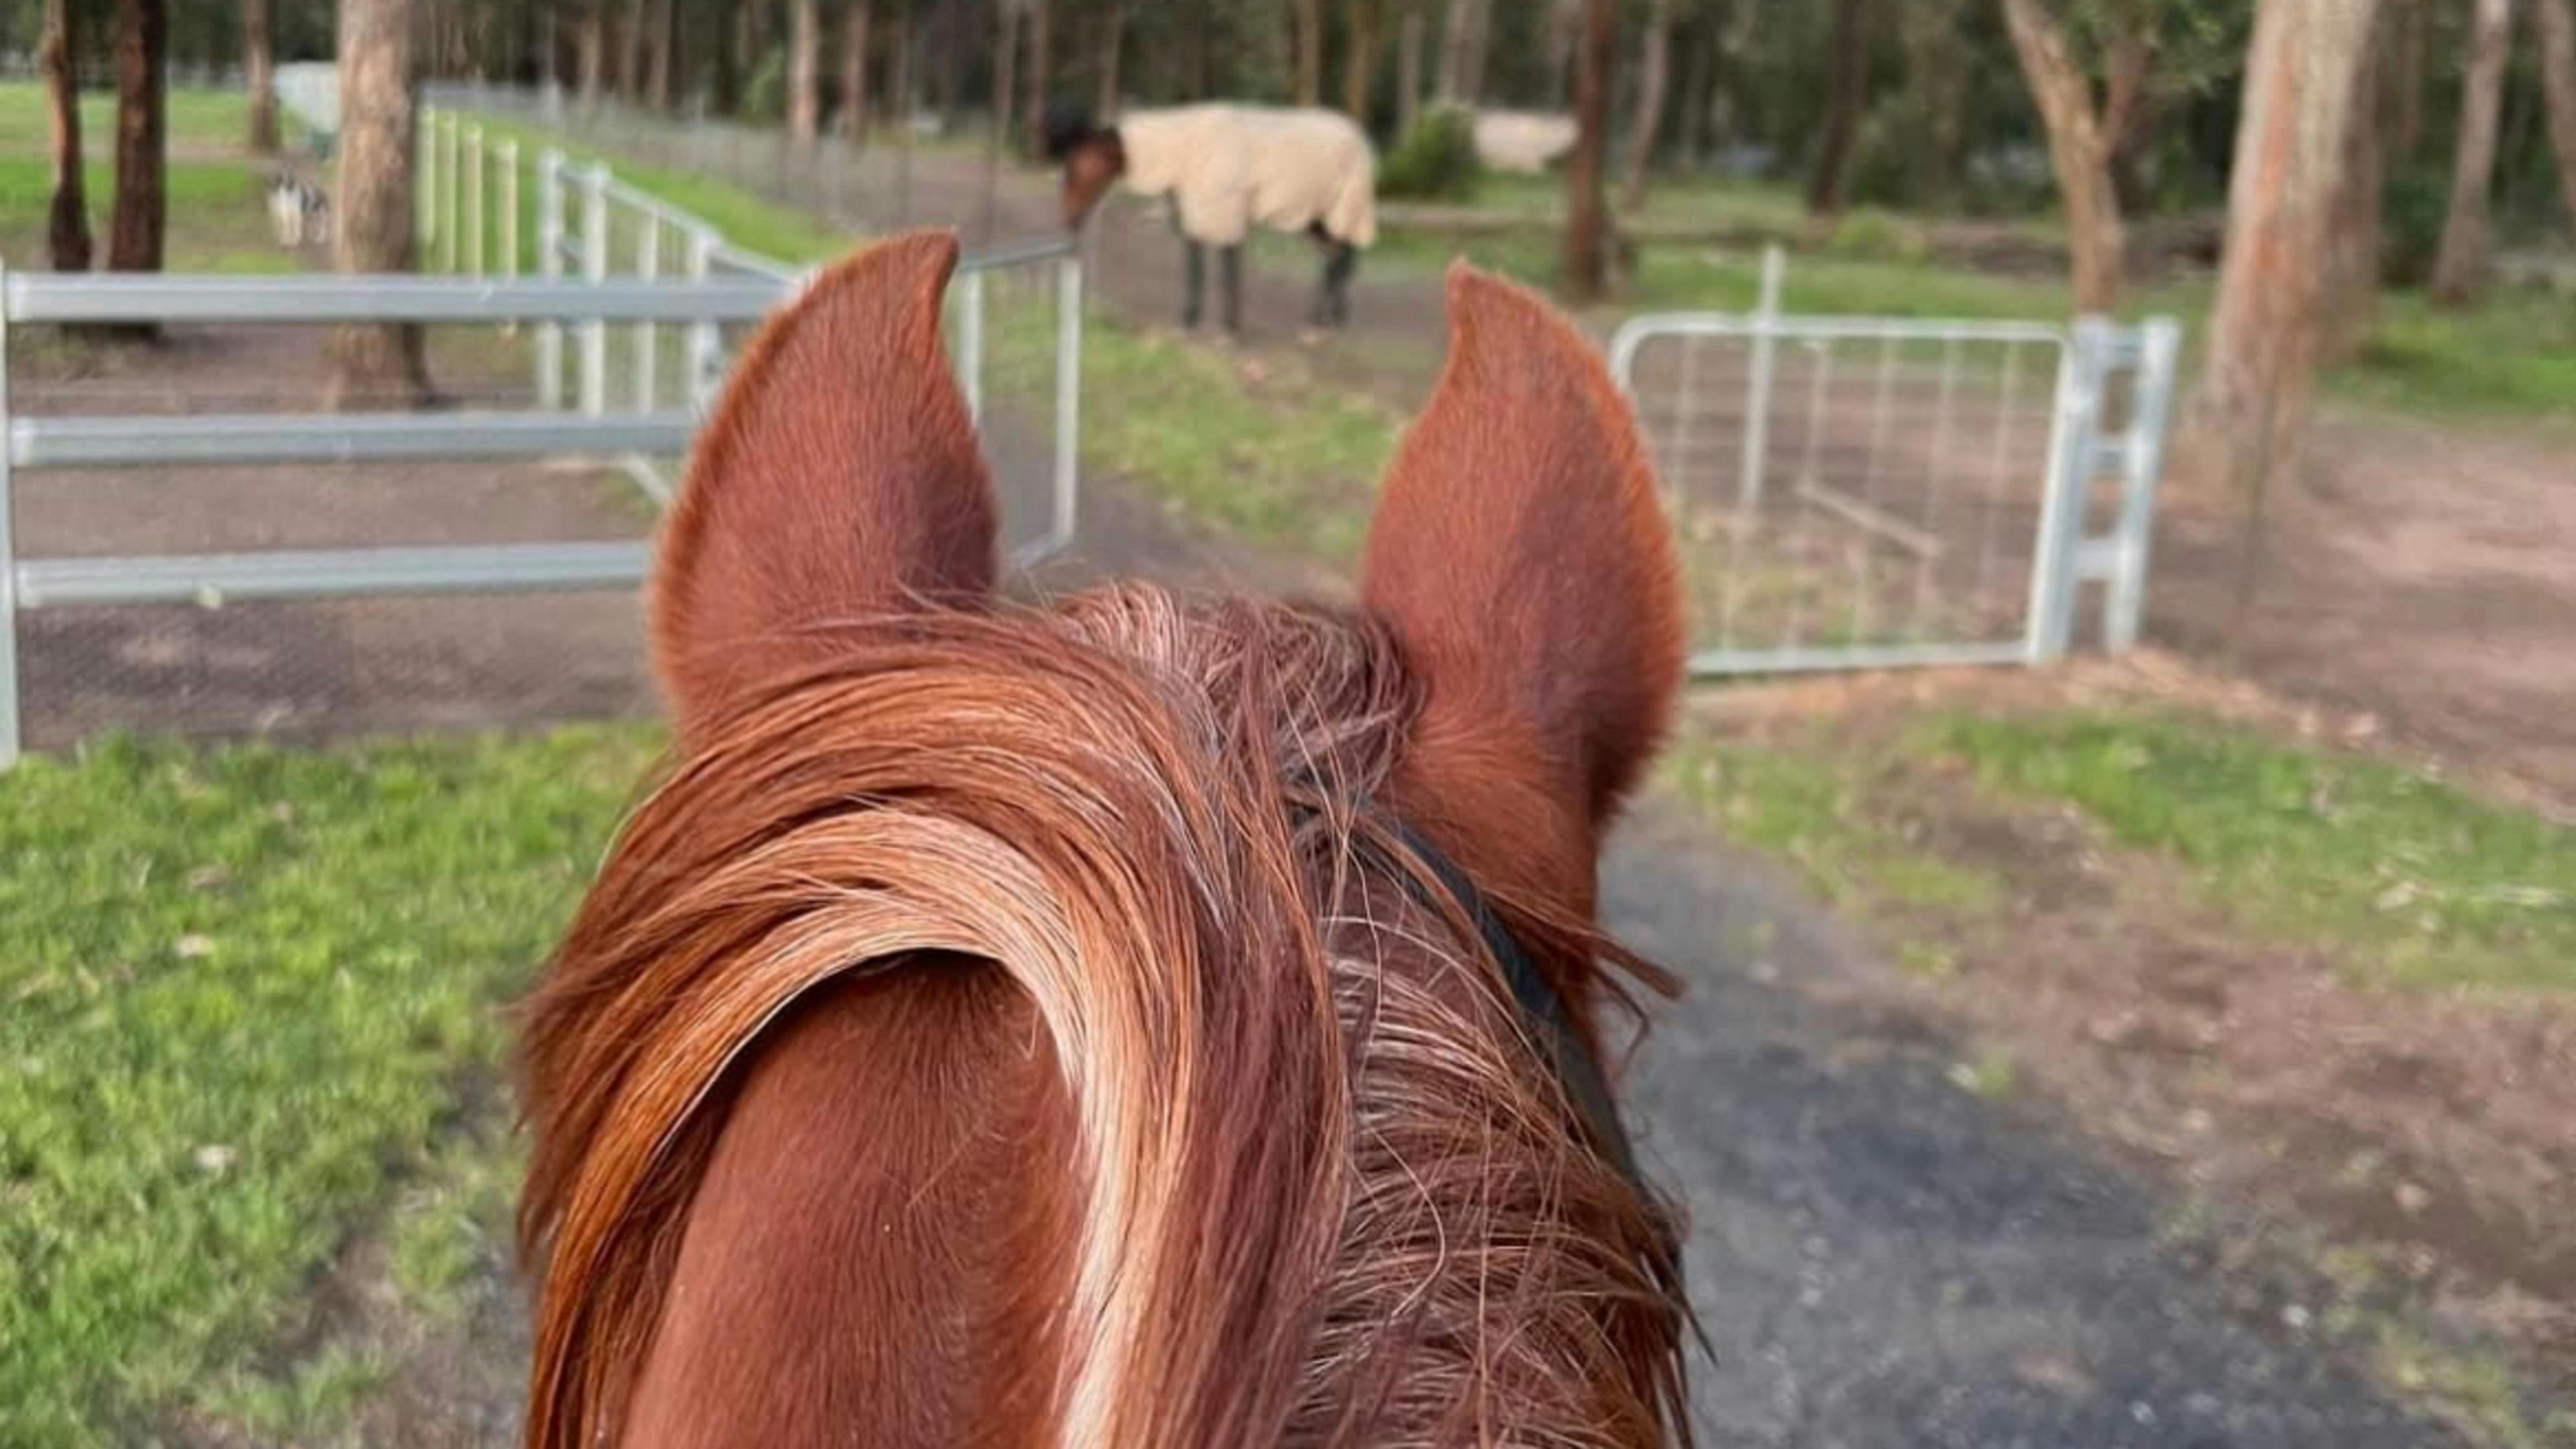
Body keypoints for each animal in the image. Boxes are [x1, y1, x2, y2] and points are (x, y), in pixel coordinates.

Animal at [1047, 103, 1376, 334]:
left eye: (1075, 169)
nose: (1067, 220)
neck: (1184, 150)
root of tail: (1360, 139)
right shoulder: (1198, 210)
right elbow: (1196, 263)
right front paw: (1191, 320)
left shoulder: (1224, 210)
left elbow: (1226, 265)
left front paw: (1228, 327)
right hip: (1320, 214)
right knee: (1337, 256)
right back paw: (1324, 319)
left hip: (1341, 206)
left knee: (1339, 256)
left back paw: (1324, 321)